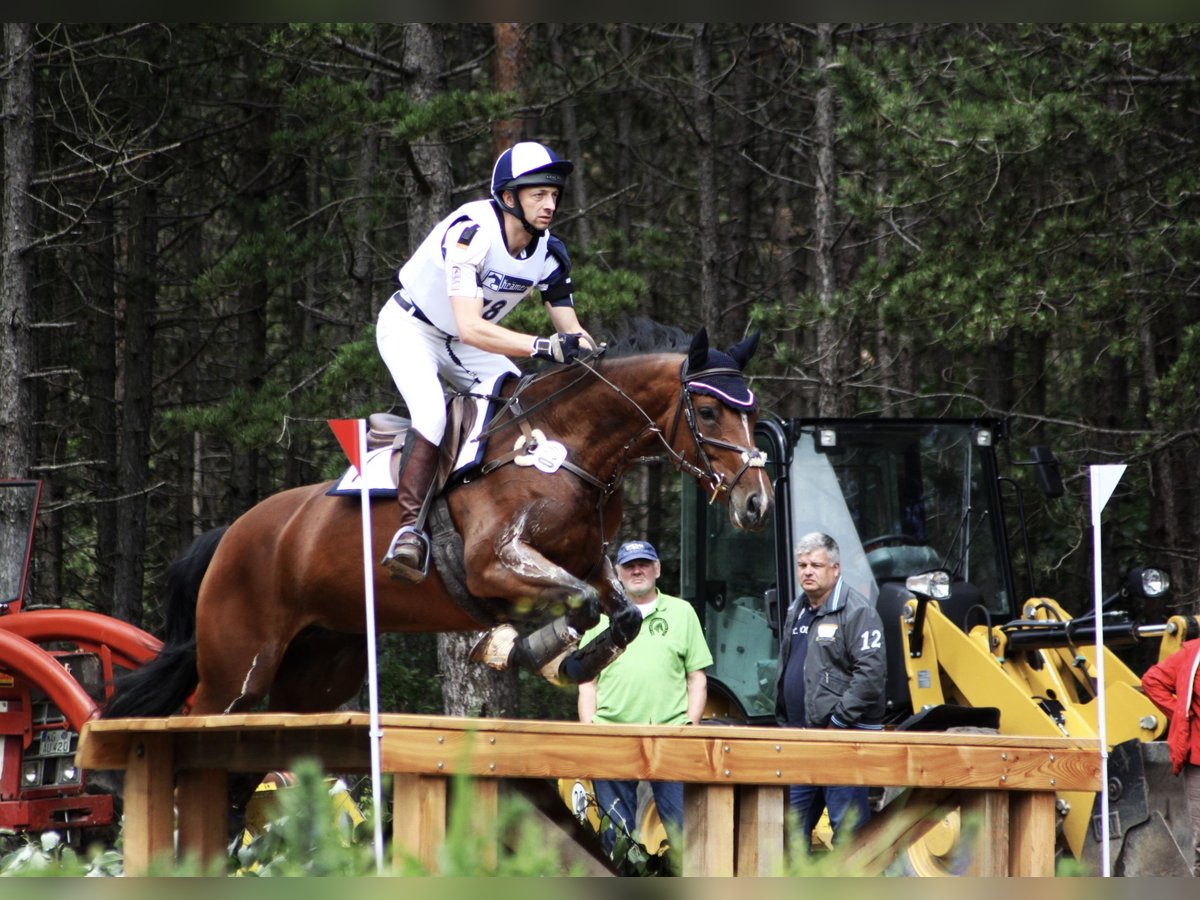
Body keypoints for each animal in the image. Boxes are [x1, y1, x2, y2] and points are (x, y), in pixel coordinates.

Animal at [108, 328, 772, 724]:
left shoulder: (590, 562)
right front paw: (533, 650)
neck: (564, 449)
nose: (757, 504)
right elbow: (578, 603)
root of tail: (230, 536)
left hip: (318, 669)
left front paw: (562, 658)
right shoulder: (494, 564)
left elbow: (624, 613)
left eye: (752, 411)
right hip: (236, 669)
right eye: (707, 410)